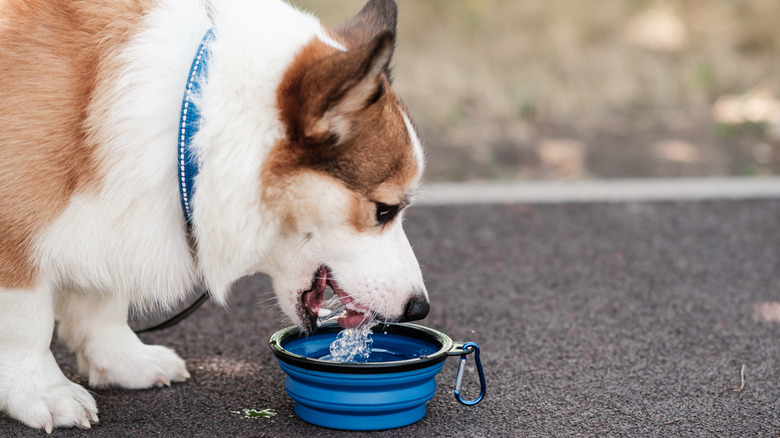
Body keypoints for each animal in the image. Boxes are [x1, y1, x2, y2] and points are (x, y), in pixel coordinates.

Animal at [0, 0, 426, 432]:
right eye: (385, 209)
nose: (419, 308)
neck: (191, 125)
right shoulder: (15, 240)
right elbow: (27, 323)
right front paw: (42, 392)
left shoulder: (107, 213)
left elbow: (101, 302)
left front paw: (123, 361)